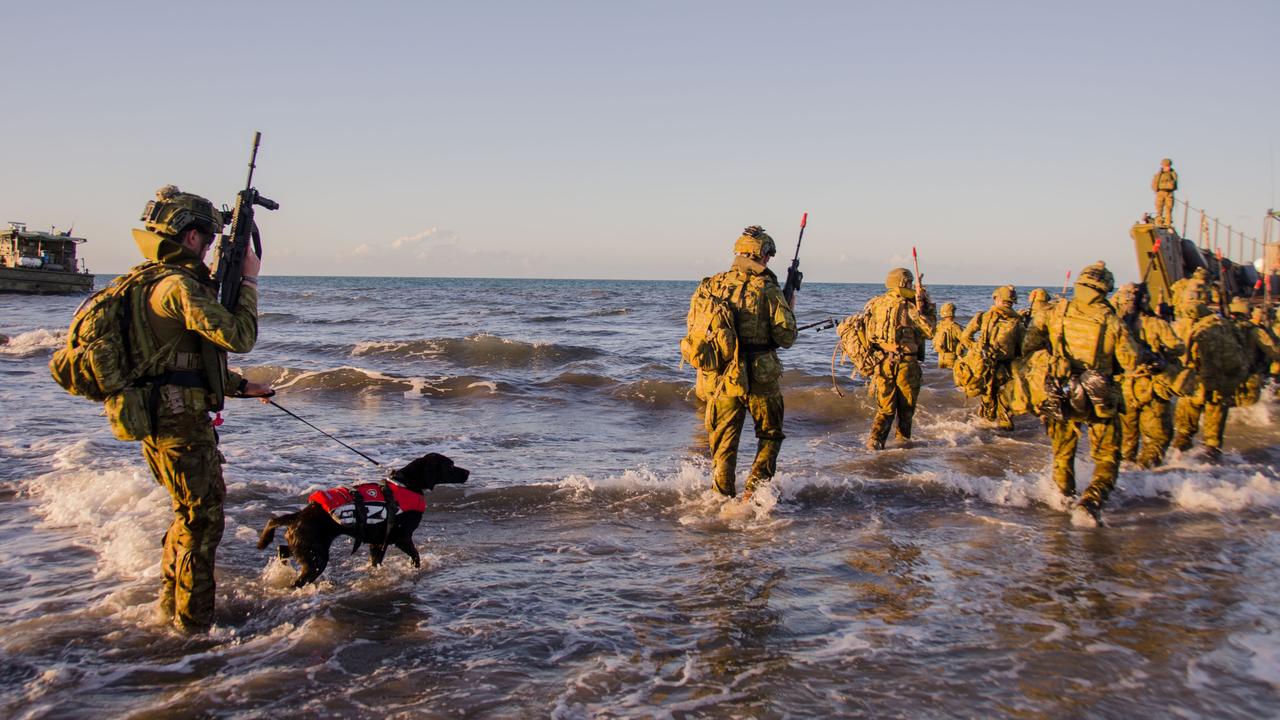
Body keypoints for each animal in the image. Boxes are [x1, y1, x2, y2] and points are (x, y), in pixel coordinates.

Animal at [257, 450, 468, 586]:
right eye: (450, 465)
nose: (468, 472)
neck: (408, 484)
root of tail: (298, 516)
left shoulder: (378, 542)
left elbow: (377, 562)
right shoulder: (401, 537)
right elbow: (416, 556)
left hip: (305, 548)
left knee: (282, 549)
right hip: (317, 558)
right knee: (298, 580)